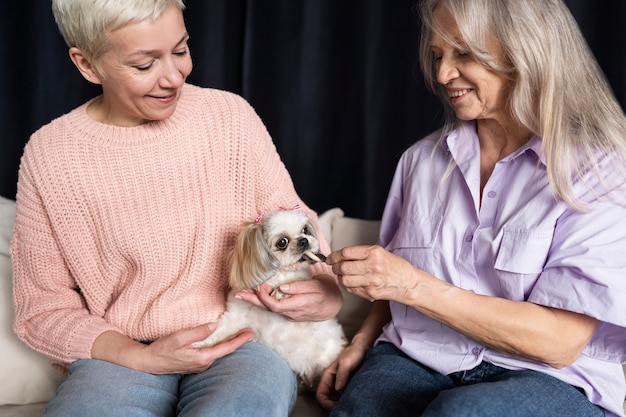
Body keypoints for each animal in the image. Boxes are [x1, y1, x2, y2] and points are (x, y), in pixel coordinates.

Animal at [193, 208, 344, 386]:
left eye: (305, 230)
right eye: (282, 242)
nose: (304, 240)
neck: (276, 276)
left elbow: (298, 279)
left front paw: (281, 291)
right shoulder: (236, 318)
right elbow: (218, 333)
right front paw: (202, 344)